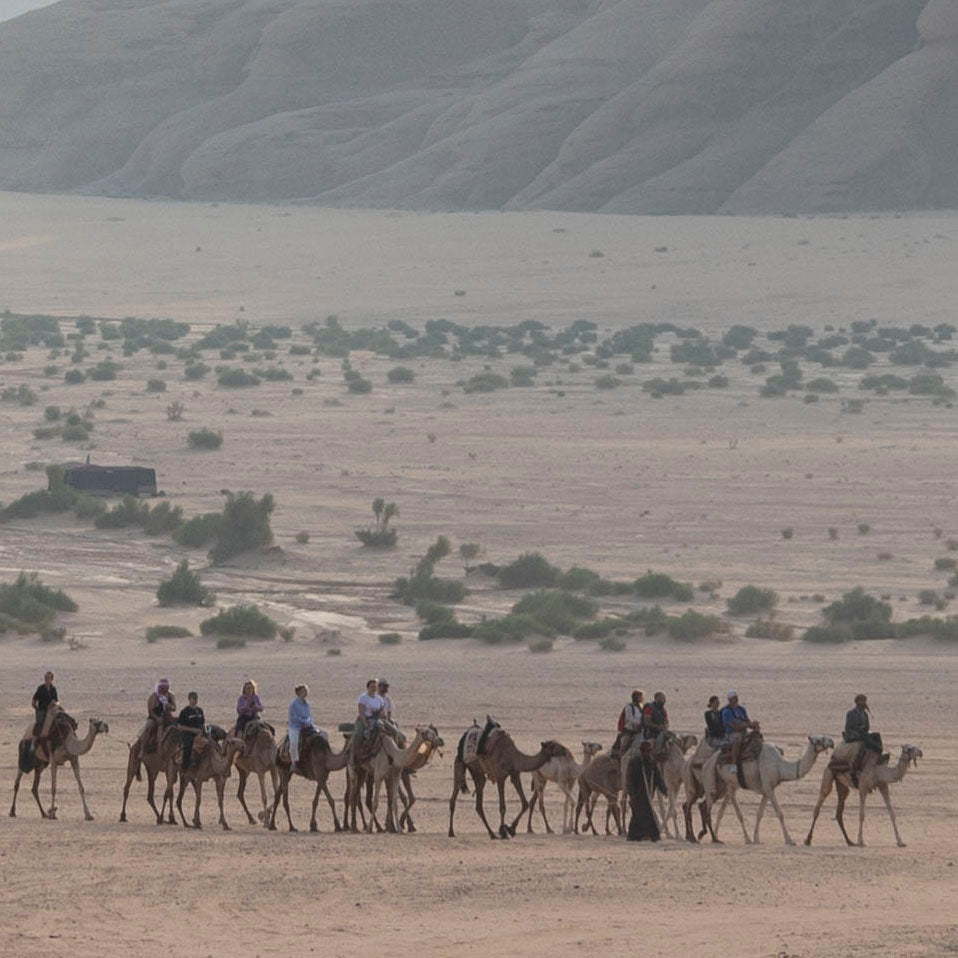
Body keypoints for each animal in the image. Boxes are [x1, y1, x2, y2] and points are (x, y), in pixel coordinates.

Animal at [702, 734, 834, 845]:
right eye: (818, 740)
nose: (832, 742)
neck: (779, 766)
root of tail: (709, 761)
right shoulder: (768, 787)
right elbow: (779, 813)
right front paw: (789, 840)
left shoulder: (767, 789)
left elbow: (759, 813)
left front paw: (757, 839)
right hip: (712, 783)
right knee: (713, 808)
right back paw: (740, 839)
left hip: (728, 785)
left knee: (722, 810)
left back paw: (716, 837)